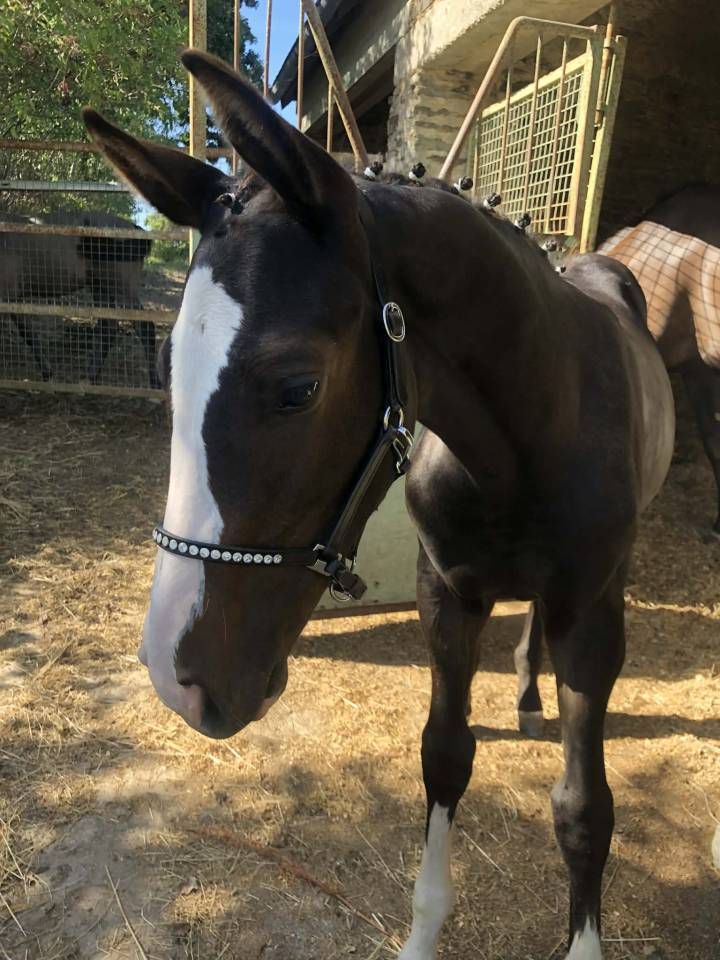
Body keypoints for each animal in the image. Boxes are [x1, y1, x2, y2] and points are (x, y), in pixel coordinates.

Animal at [0, 209, 157, 385]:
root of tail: (134, 228)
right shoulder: (13, 300)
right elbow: (28, 333)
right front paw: (47, 373)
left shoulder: (7, 297)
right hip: (100, 288)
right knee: (108, 328)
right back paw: (90, 378)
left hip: (121, 289)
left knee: (145, 328)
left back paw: (154, 383)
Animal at [83, 51, 674, 960]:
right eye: (163, 369)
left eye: (297, 386)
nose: (174, 680)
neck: (537, 429)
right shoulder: (448, 597)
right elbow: (444, 756)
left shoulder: (593, 615)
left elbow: (584, 810)